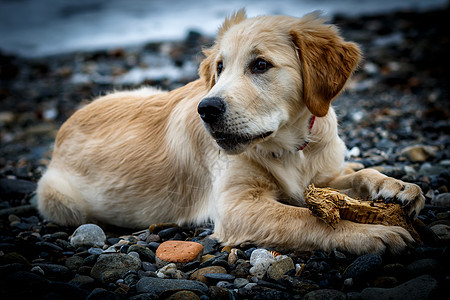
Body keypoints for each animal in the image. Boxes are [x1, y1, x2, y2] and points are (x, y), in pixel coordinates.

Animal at [37, 10, 424, 253]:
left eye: (261, 65)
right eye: (220, 67)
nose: (206, 109)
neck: (289, 147)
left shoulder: (321, 175)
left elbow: (359, 173)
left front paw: (397, 186)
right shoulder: (236, 205)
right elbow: (305, 218)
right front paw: (369, 233)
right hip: (58, 198)